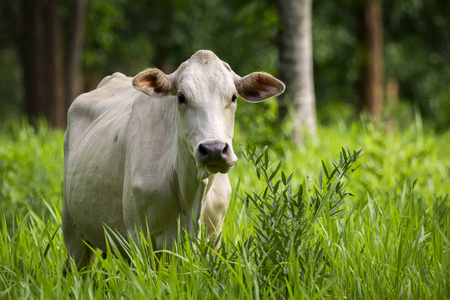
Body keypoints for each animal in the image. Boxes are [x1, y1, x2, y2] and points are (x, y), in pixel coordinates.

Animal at [62, 50, 284, 270]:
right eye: (181, 97)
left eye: (233, 97)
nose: (213, 149)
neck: (192, 194)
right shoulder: (138, 238)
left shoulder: (213, 239)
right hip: (72, 231)